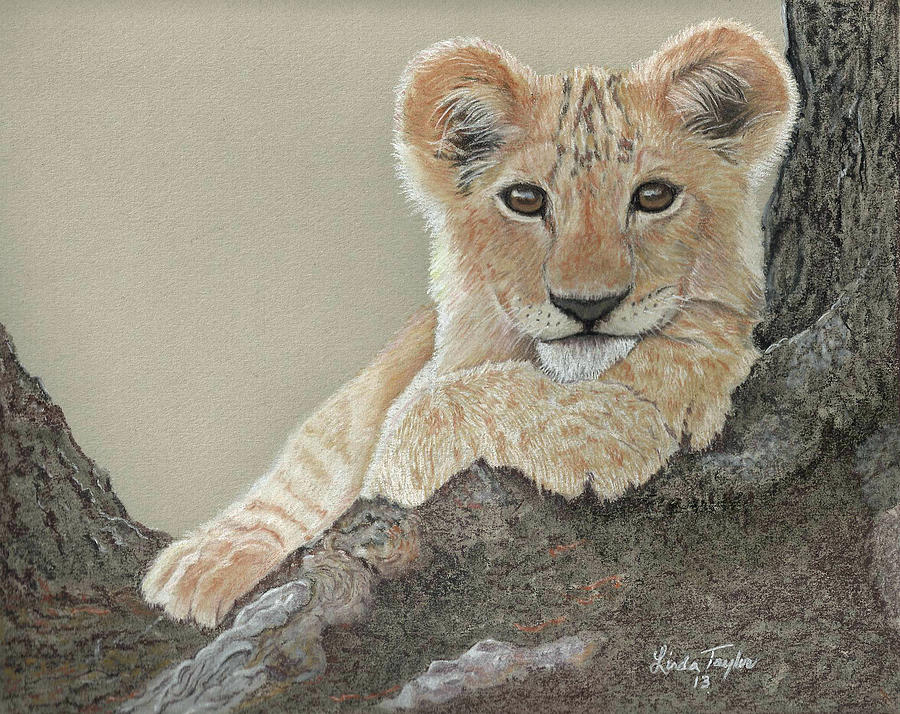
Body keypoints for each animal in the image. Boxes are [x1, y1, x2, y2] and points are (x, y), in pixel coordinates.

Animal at [141, 20, 798, 628]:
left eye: (655, 197)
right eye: (526, 201)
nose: (587, 305)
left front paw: (680, 372)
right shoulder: (392, 468)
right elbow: (453, 398)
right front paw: (604, 433)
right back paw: (198, 567)